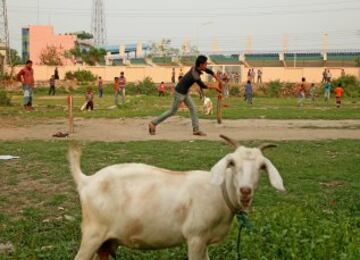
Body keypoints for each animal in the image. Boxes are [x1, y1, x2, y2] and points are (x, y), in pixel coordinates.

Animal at [69, 135, 286, 258]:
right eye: (232, 163)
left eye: (262, 166)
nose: (245, 190)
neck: (220, 193)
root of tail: (86, 181)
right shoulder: (195, 237)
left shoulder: (204, 242)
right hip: (93, 233)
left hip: (105, 243)